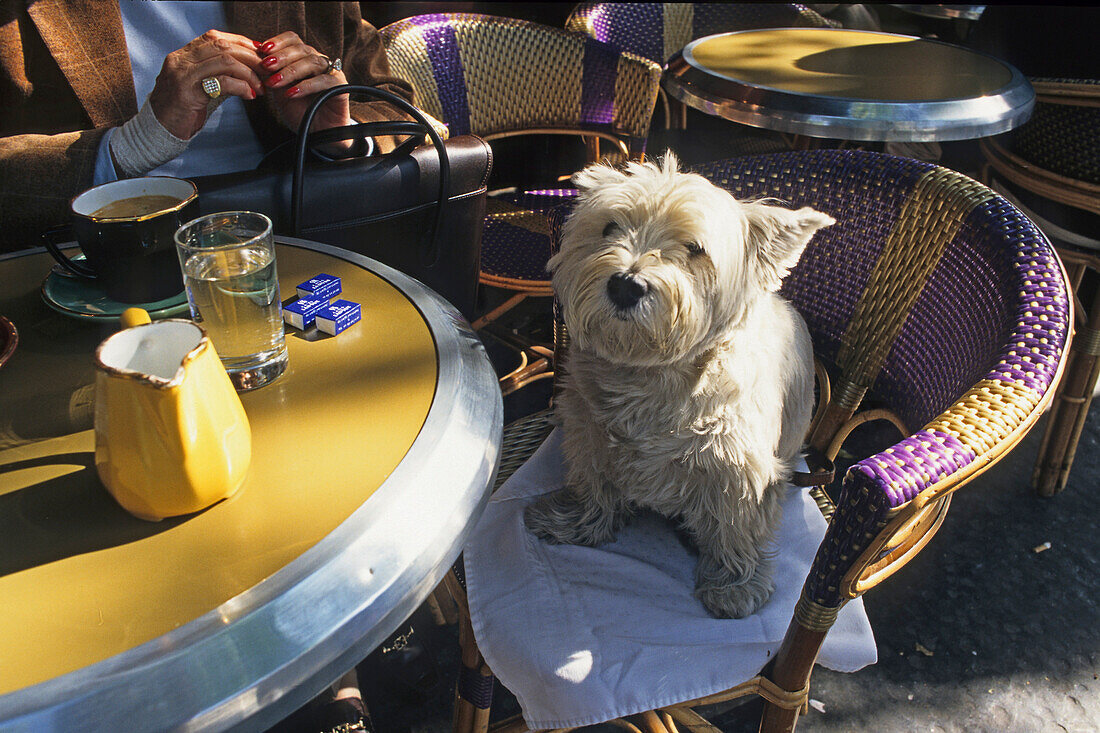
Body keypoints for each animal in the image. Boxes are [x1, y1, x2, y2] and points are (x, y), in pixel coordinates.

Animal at [523, 154, 831, 616]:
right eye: (610, 227)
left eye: (695, 249)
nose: (626, 285)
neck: (651, 377)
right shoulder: (587, 432)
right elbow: (592, 482)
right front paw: (575, 522)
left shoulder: (737, 467)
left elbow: (736, 525)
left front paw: (734, 585)